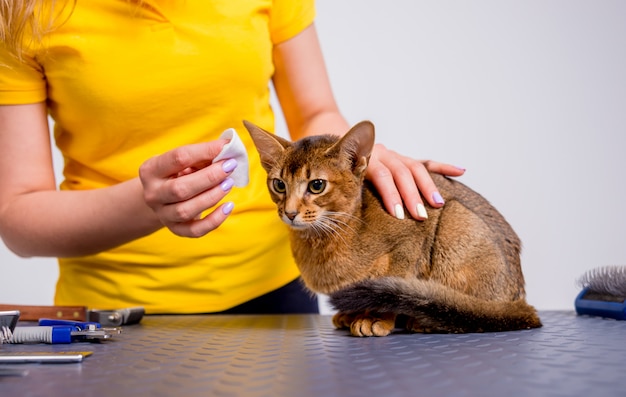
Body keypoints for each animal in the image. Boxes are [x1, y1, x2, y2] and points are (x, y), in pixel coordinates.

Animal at [244, 119, 540, 336]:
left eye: (317, 185)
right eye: (279, 184)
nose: (290, 213)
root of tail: (519, 299)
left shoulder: (412, 237)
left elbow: (395, 277)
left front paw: (376, 319)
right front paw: (353, 314)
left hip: (455, 221)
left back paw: (423, 320)